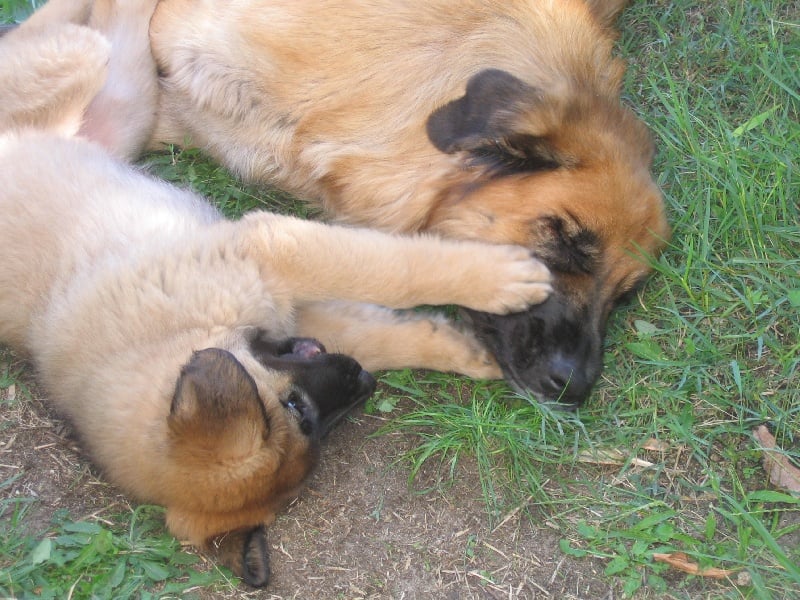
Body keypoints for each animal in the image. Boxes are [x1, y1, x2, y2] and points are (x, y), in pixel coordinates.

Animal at [0, 4, 552, 584]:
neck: (163, 338)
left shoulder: (268, 254)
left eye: (294, 406)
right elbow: (381, 315)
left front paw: (501, 282)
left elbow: (388, 269)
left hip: (105, 78)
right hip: (122, 96)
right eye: (305, 421)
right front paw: (474, 337)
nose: (363, 382)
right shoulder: (290, 303)